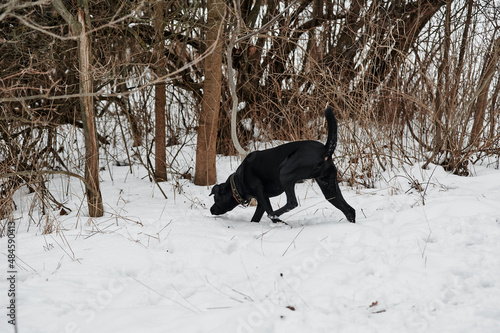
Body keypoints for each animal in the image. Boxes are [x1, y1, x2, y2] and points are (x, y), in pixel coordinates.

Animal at [210, 106, 356, 223]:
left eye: (216, 199)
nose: (211, 210)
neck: (238, 181)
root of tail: (325, 150)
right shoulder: (261, 202)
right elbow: (255, 218)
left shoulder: (261, 194)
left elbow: (268, 212)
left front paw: (279, 222)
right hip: (329, 186)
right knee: (350, 210)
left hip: (286, 173)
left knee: (291, 203)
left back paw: (275, 214)